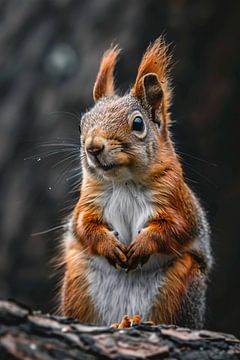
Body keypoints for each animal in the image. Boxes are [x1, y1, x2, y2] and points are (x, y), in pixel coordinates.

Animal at [59, 38, 212, 328]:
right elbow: (84, 226)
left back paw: (135, 321)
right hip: (78, 279)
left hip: (180, 284)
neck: (124, 183)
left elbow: (176, 228)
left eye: (138, 123)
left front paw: (142, 245)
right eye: (82, 124)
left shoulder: (176, 199)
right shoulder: (88, 201)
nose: (92, 147)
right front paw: (108, 245)